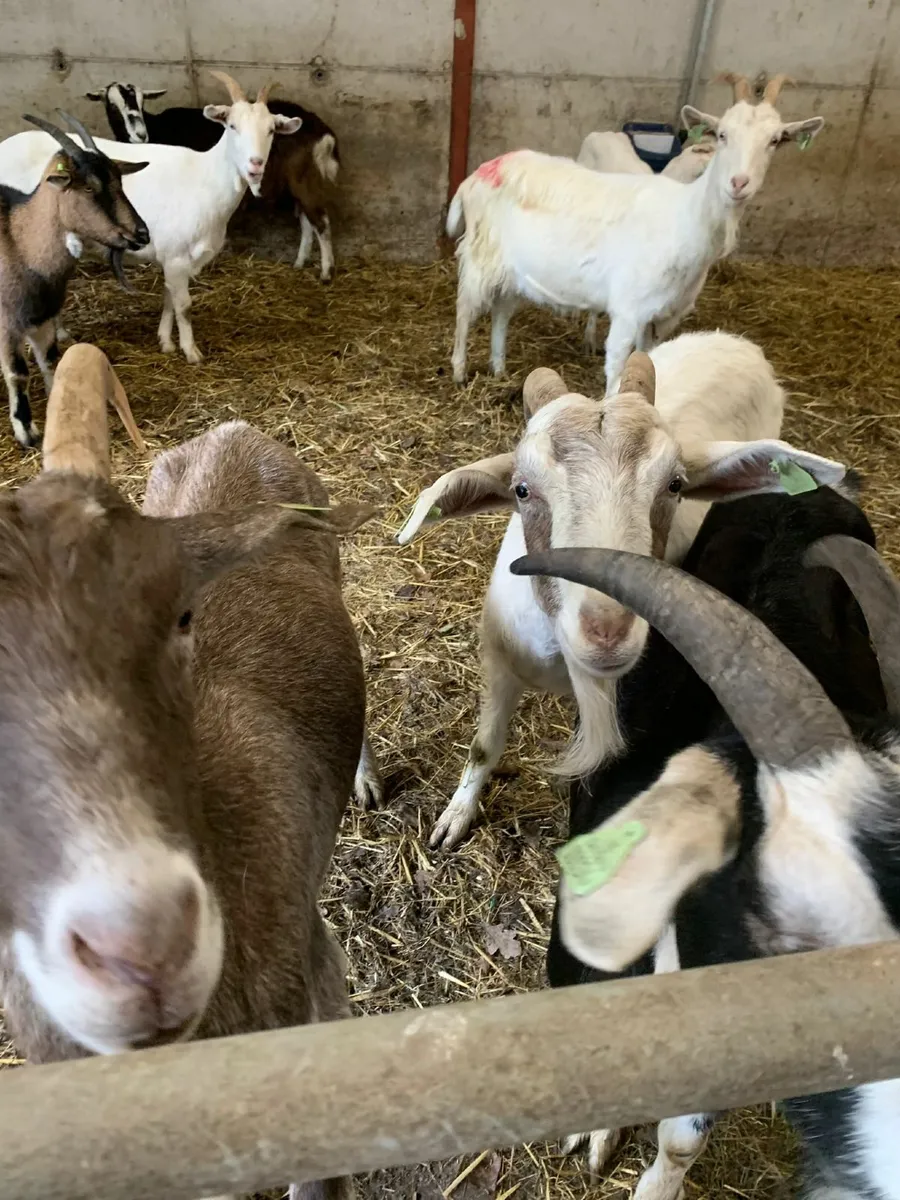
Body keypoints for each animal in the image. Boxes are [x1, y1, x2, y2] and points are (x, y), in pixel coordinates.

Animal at [0, 71, 302, 363]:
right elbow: (184, 306)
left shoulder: (173, 256)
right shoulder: (177, 256)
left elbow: (168, 299)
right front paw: (191, 352)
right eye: (232, 126)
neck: (206, 177)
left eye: (271, 130)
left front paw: (166, 342)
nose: (255, 165)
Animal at [0, 112, 148, 448]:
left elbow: (50, 361)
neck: (20, 241)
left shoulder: (42, 319)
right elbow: (18, 373)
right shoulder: (6, 324)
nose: (142, 234)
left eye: (119, 181)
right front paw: (27, 432)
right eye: (89, 188)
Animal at [87, 81, 341, 281]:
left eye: (141, 102)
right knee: (307, 220)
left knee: (320, 220)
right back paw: (300, 262)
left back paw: (326, 272)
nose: (139, 134)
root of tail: (323, 132)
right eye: (112, 105)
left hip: (302, 178)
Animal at [397, 335, 845, 849]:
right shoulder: (499, 660)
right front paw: (455, 818)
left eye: (675, 485)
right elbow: (483, 746)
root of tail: (735, 341)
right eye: (522, 490)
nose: (607, 630)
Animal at [447, 72, 824, 392]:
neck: (686, 219)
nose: (739, 183)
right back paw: (459, 370)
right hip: (480, 253)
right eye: (722, 134)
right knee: (464, 307)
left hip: (513, 270)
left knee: (501, 311)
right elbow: (617, 368)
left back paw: (499, 368)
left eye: (775, 140)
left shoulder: (662, 317)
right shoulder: (628, 309)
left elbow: (649, 361)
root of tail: (478, 173)